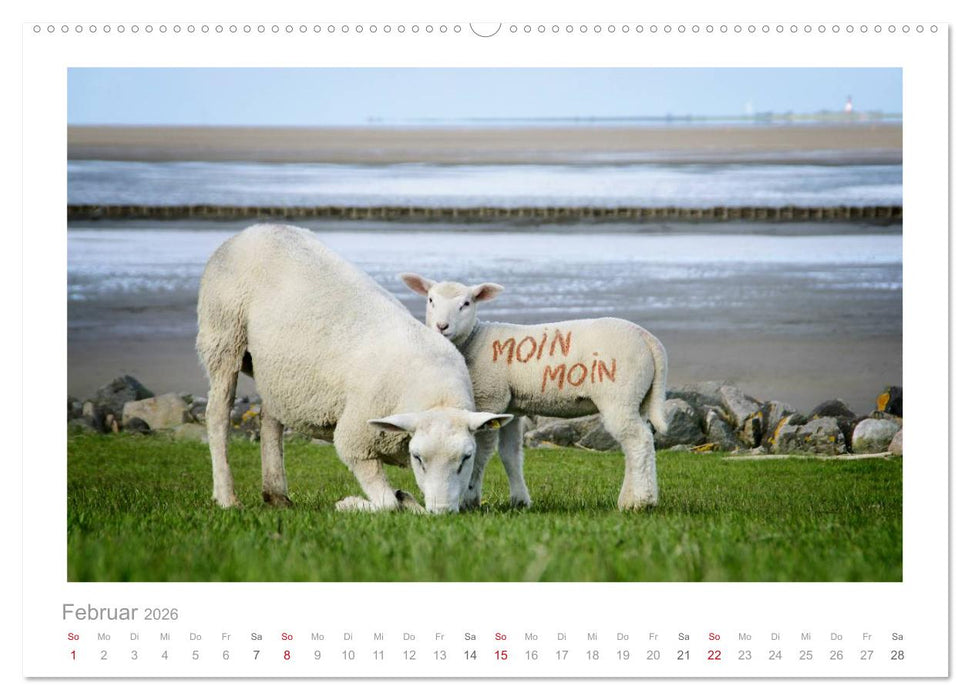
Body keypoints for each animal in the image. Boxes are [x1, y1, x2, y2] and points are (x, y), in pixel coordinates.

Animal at [196, 224, 511, 514]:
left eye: (466, 458)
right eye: (418, 458)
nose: (443, 512)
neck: (435, 394)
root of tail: (255, 229)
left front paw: (407, 499)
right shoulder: (355, 440)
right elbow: (386, 504)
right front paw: (351, 503)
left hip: (278, 371)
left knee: (270, 420)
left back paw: (276, 495)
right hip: (223, 333)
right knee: (218, 416)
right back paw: (226, 497)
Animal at [400, 273, 669, 511]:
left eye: (466, 304)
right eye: (431, 300)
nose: (441, 326)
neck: (474, 341)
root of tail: (648, 338)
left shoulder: (490, 398)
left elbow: (482, 451)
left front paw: (469, 498)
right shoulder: (510, 407)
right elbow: (511, 454)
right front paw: (519, 501)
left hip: (618, 393)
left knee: (638, 440)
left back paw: (640, 502)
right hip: (638, 398)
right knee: (638, 441)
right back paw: (631, 497)